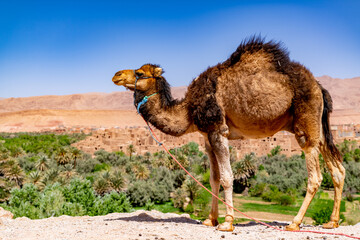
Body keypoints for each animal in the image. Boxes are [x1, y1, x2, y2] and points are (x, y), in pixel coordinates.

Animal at [112, 36, 346, 232]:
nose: (116, 75)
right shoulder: (206, 136)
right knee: (338, 170)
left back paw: (294, 223)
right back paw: (332, 222)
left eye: (140, 73)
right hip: (318, 128)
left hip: (305, 125)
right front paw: (210, 219)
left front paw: (227, 222)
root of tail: (319, 87)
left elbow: (226, 177)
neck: (188, 109)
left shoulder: (218, 130)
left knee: (315, 176)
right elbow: (213, 178)